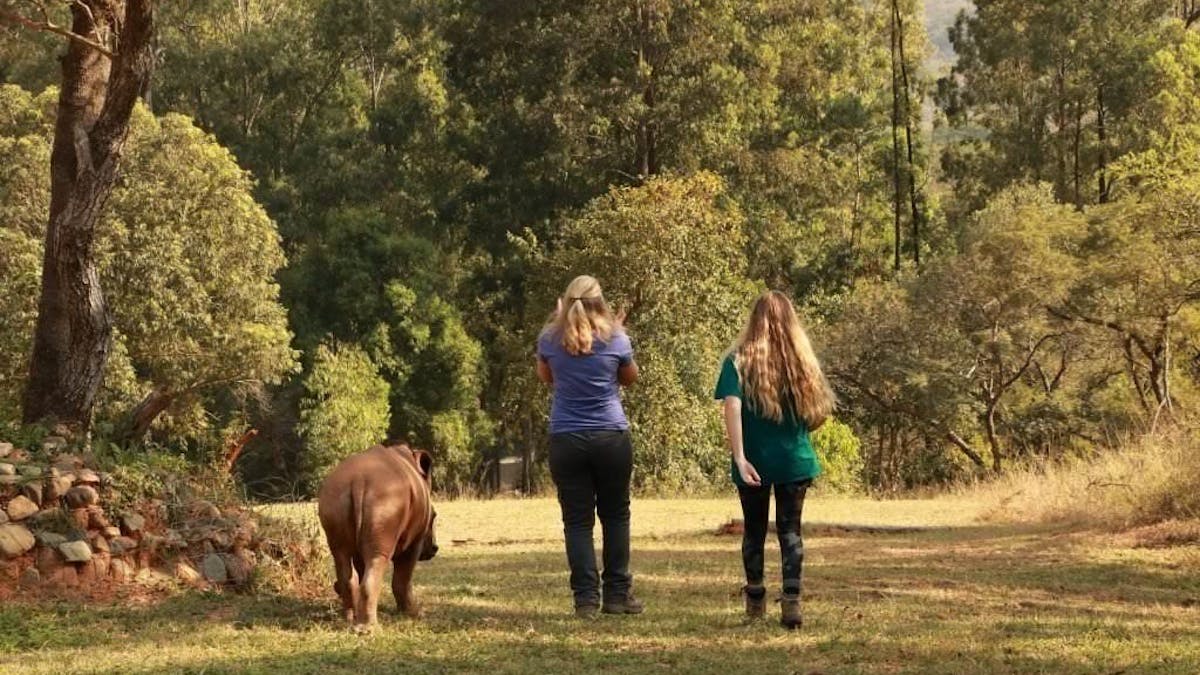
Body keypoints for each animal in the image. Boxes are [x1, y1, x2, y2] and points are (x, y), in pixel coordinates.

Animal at [316, 444, 439, 629]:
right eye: (434, 516)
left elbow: (362, 566)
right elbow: (403, 578)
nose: (434, 548)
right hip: (385, 498)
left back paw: (349, 620)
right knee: (378, 557)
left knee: (340, 555)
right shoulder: (415, 542)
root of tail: (358, 480)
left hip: (334, 498)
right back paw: (369, 629)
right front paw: (414, 614)